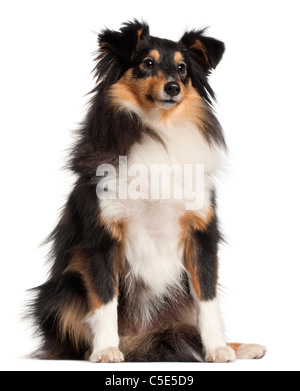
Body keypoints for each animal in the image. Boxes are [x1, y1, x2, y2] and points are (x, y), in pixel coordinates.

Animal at [29, 20, 266, 364]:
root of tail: (143, 336)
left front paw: (217, 349)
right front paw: (106, 349)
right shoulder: (101, 238)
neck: (160, 128)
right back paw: (105, 348)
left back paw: (240, 346)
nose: (173, 88)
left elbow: (207, 298)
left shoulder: (201, 234)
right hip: (60, 292)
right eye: (147, 63)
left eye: (182, 68)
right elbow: (104, 299)